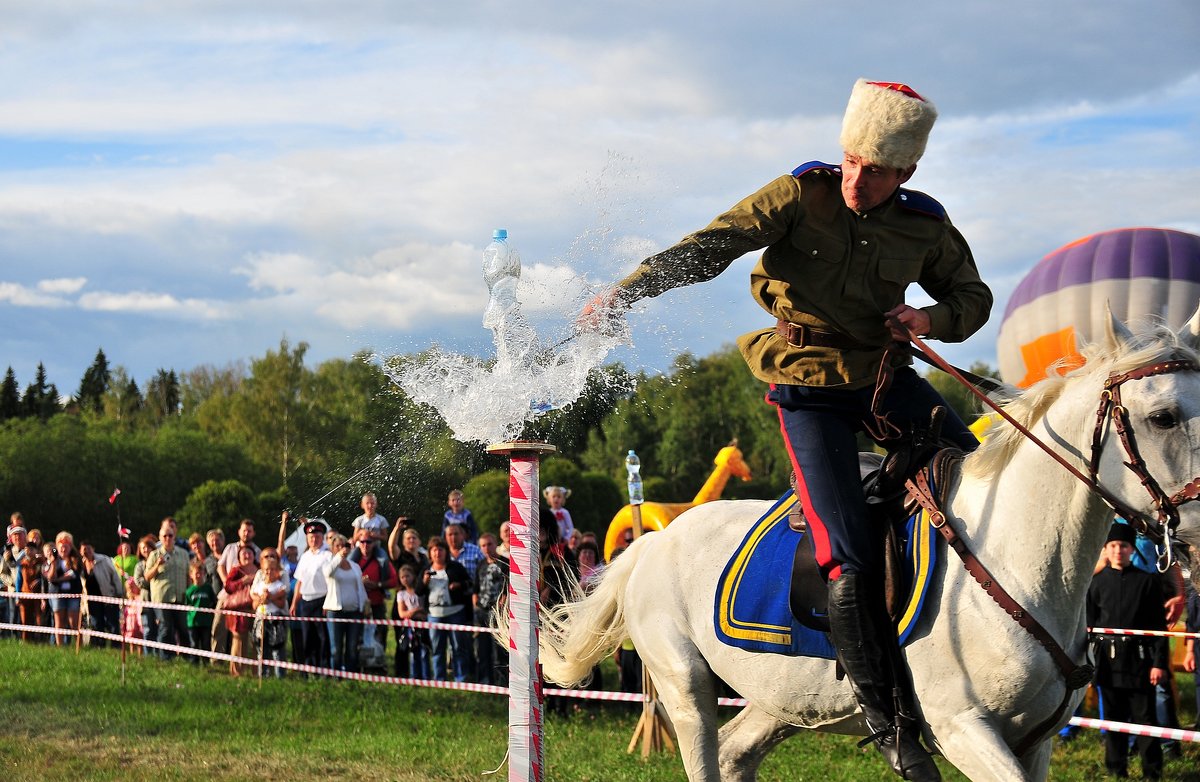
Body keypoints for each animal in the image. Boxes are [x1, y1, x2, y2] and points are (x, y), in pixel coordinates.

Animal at [540, 311, 1200, 782]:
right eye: (1163, 417)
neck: (1020, 563)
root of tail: (652, 543)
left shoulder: (1033, 744)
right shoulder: (965, 730)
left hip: (784, 698)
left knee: (734, 755)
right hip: (686, 688)